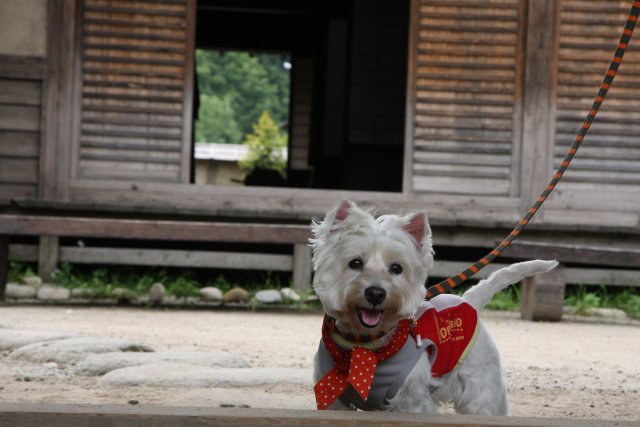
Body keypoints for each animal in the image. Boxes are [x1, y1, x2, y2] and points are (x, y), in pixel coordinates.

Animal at [310, 201, 556, 414]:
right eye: (355, 263)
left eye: (396, 268)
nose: (376, 293)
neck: (365, 346)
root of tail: (469, 300)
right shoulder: (334, 399)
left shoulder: (411, 401)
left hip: (482, 389)